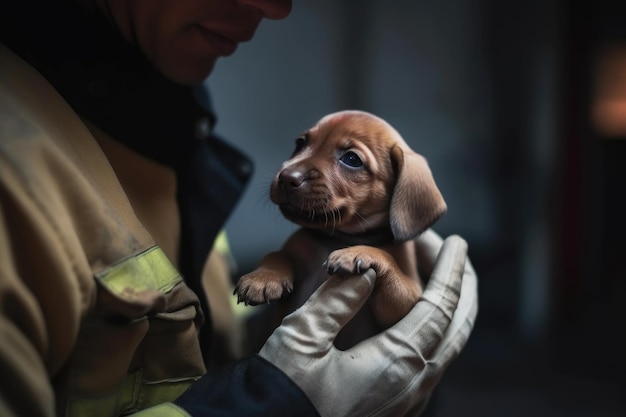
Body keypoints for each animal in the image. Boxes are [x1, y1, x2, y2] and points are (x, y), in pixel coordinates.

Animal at [233, 109, 444, 332]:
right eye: (300, 144)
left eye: (352, 159)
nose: (286, 177)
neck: (336, 238)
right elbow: (277, 254)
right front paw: (261, 277)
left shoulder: (408, 304)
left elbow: (388, 260)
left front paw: (358, 252)